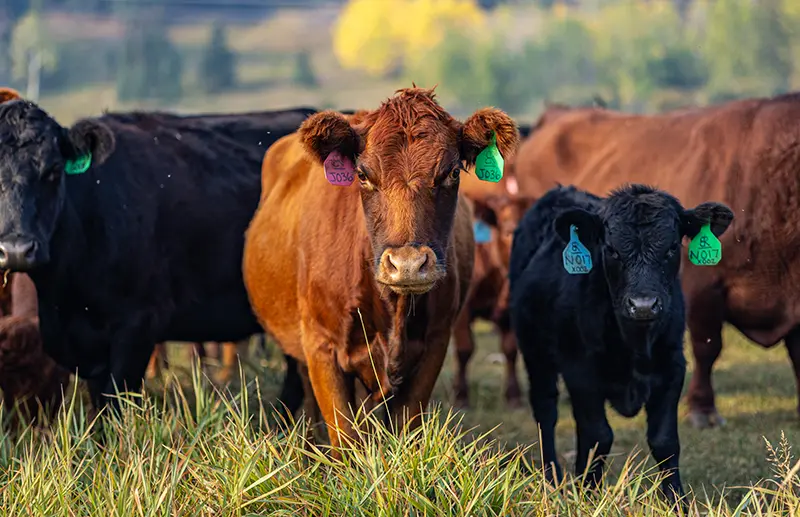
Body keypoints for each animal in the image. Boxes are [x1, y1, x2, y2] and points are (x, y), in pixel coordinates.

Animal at [242, 86, 519, 451]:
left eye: (452, 173)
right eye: (362, 175)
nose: (408, 264)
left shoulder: (435, 343)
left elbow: (405, 426)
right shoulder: (320, 347)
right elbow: (345, 439)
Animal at [451, 192, 535, 409]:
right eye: (509, 232)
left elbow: (510, 350)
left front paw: (513, 395)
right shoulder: (462, 310)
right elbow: (465, 349)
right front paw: (461, 396)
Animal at [510, 183, 733, 504]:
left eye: (671, 248)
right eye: (611, 250)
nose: (643, 305)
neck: (635, 344)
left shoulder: (672, 367)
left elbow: (664, 441)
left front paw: (676, 501)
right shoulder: (580, 371)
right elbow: (598, 436)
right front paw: (587, 497)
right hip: (535, 352)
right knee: (545, 412)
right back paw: (551, 479)